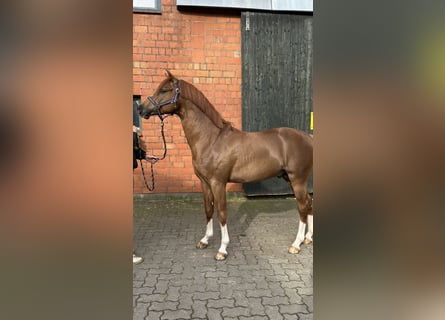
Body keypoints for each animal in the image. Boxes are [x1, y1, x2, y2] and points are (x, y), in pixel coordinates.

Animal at [139, 70, 312, 260]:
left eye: (163, 90)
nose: (140, 109)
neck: (211, 139)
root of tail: (307, 137)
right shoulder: (204, 182)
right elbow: (208, 209)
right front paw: (205, 240)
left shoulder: (218, 183)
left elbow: (221, 213)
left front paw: (222, 248)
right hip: (290, 178)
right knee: (308, 203)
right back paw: (308, 238)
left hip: (297, 179)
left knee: (302, 207)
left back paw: (296, 244)